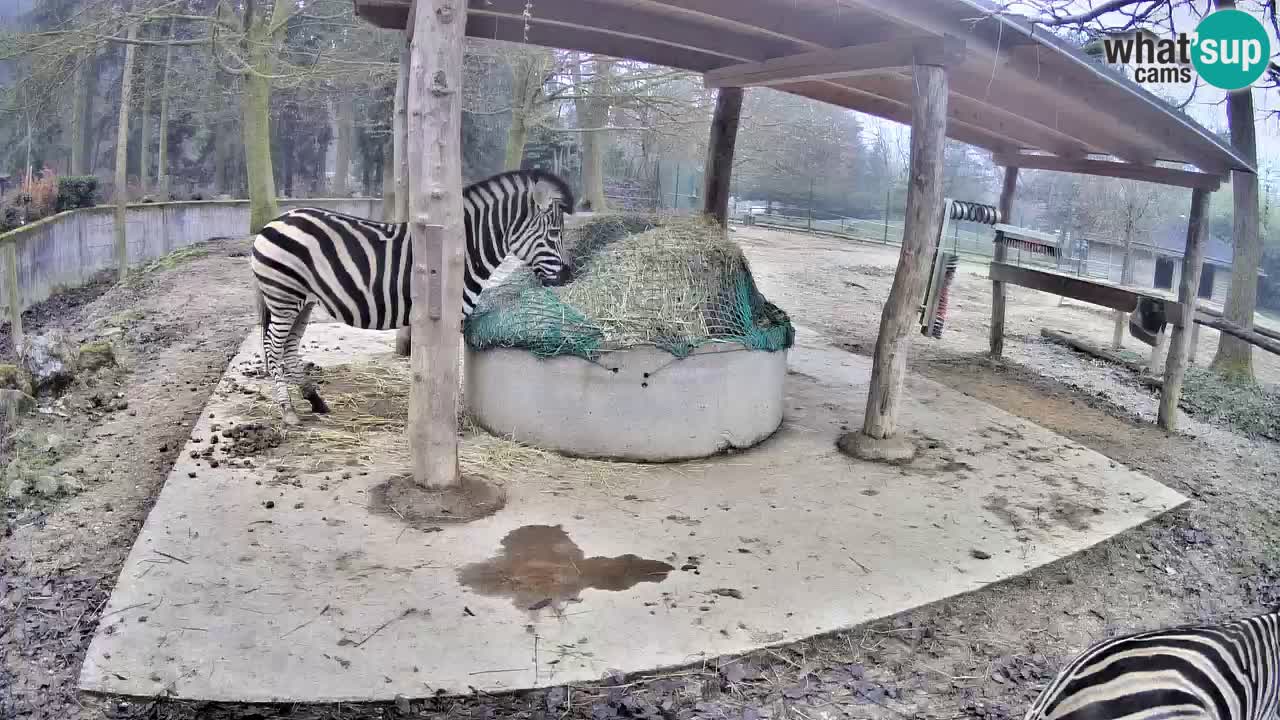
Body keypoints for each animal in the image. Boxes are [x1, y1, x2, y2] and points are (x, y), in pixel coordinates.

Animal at [250, 168, 575, 425]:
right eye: (554, 233)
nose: (568, 276)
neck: (463, 252)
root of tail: (274, 222)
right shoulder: (448, 317)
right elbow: (447, 370)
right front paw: (444, 417)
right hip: (284, 296)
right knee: (273, 347)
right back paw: (288, 411)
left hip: (302, 301)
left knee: (289, 348)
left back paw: (314, 399)